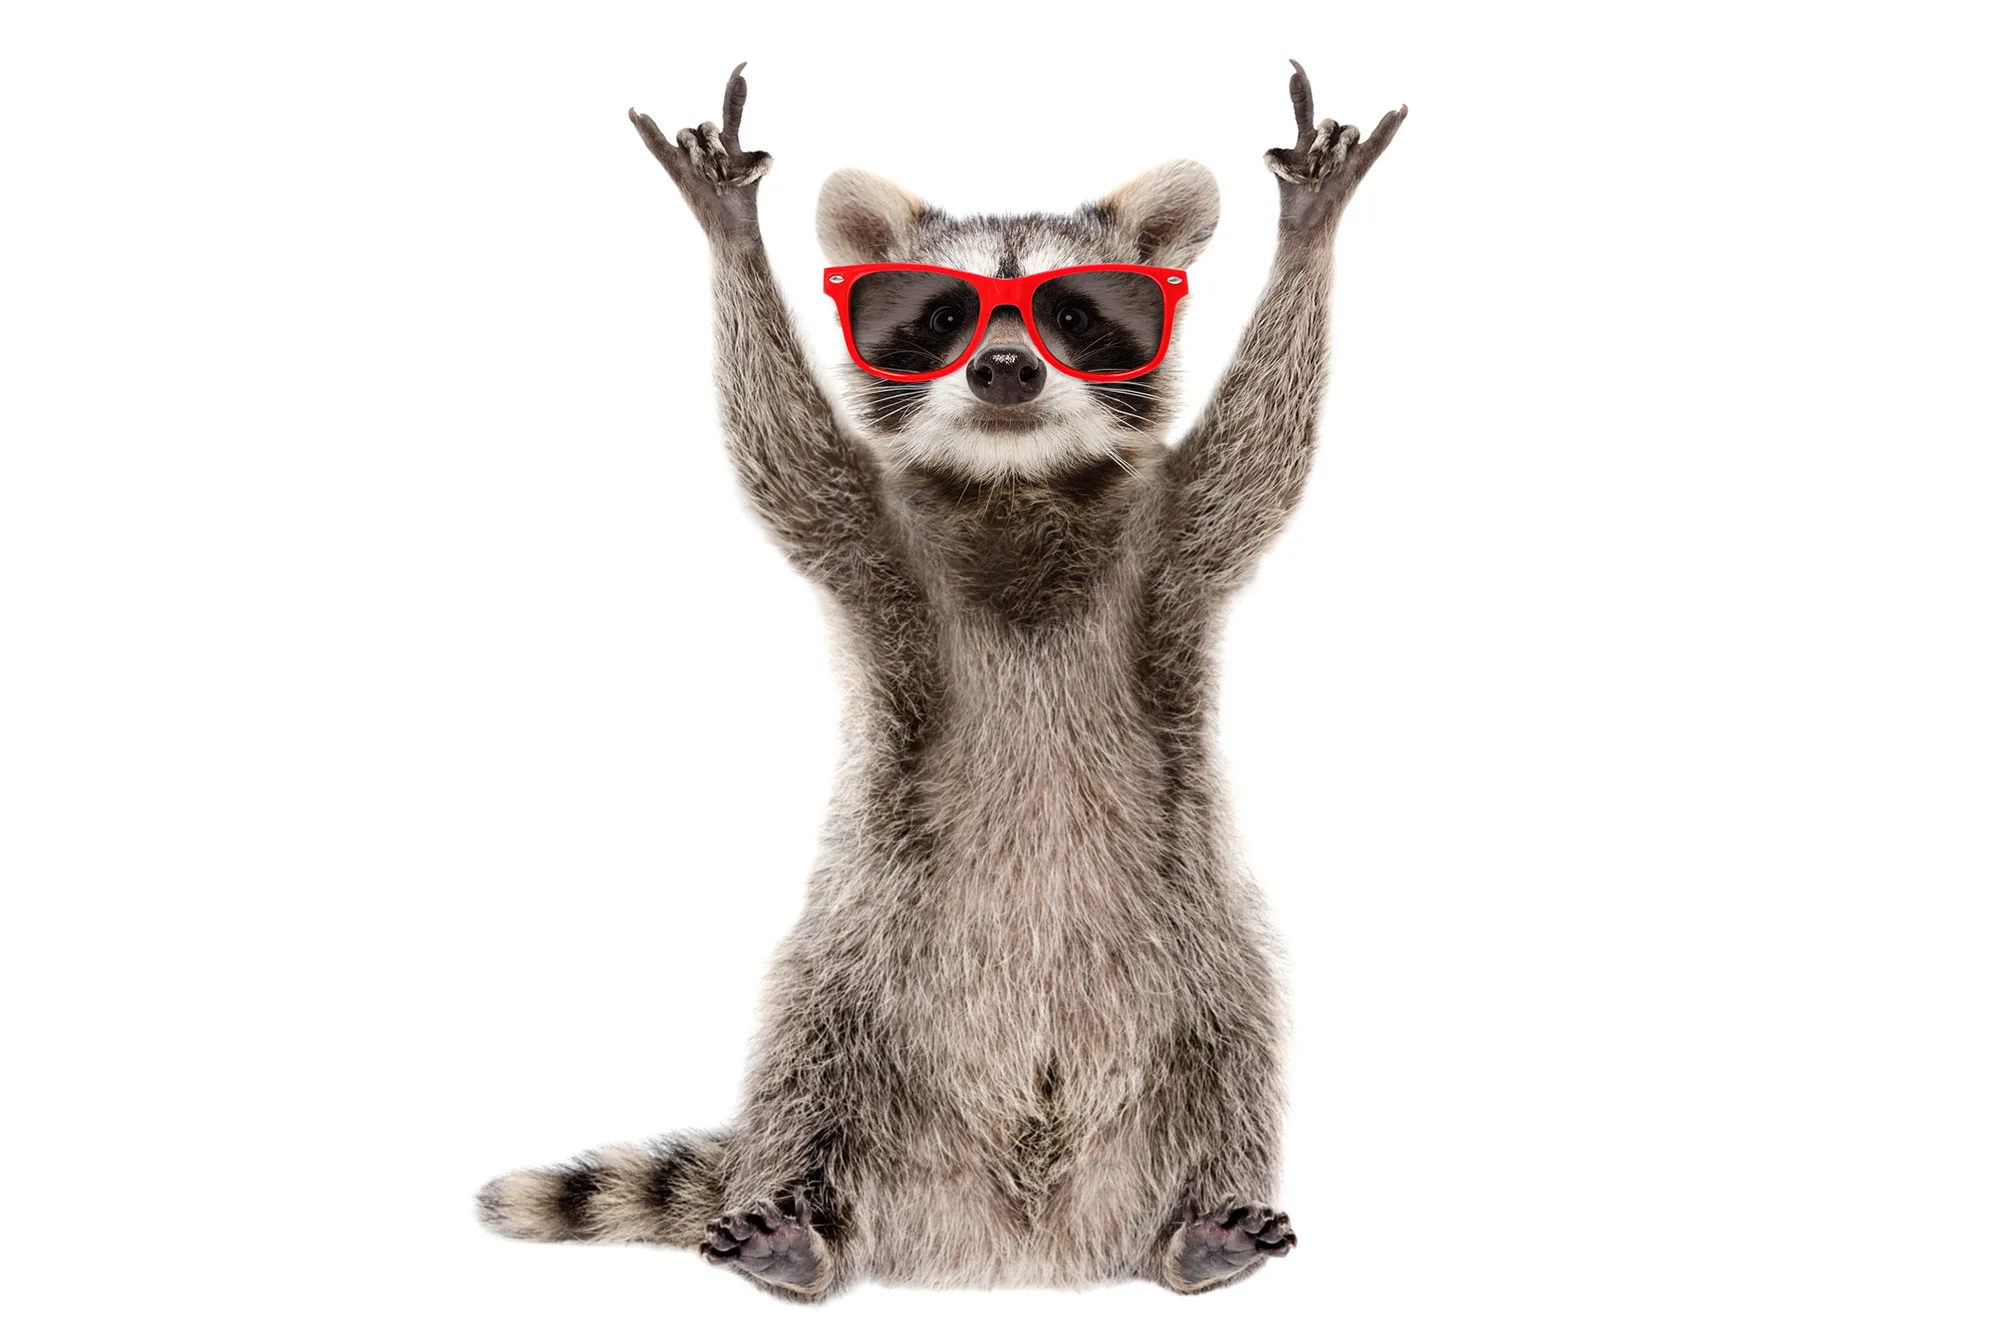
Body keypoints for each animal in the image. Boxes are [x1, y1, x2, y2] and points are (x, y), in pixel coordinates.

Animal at [477, 60, 1404, 1301]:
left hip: (1196, 937)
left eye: (1073, 314)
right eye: (939, 316)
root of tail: (1015, 1240)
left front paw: (1306, 232)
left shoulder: (1174, 540)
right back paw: (800, 1230)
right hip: (860, 950)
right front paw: (731, 236)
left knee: (1232, 1039)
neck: (1017, 487)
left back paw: (1198, 1225)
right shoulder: (877, 545)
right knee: (802, 1047)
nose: (1005, 368)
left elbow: (1261, 456)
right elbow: (787, 461)